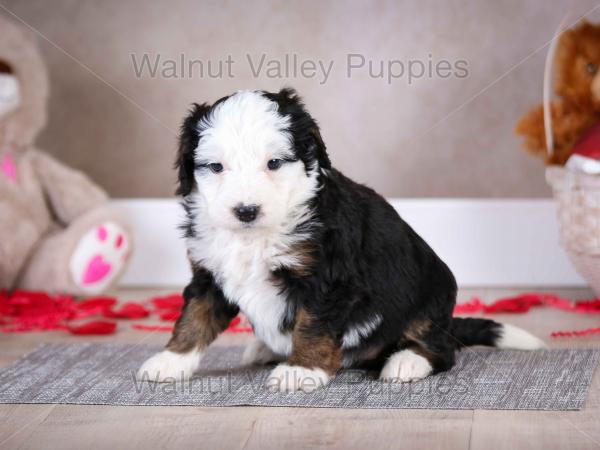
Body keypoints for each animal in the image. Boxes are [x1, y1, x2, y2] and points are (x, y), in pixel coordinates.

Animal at [138, 88, 548, 390]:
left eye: (274, 163)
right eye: (216, 167)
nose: (246, 210)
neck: (254, 237)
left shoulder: (326, 278)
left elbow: (311, 325)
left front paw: (301, 370)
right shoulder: (209, 272)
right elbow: (195, 317)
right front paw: (169, 362)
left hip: (430, 294)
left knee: (441, 349)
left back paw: (406, 362)